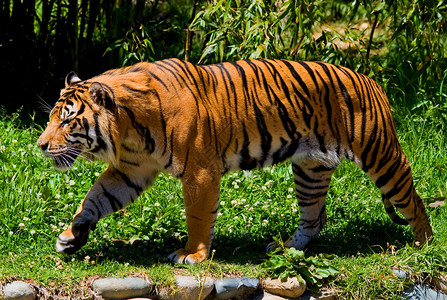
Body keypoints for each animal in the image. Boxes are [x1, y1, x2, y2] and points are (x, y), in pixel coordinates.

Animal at [37, 58, 434, 264]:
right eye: (52, 117)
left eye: (67, 121)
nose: (40, 145)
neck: (129, 130)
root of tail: (372, 80)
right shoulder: (130, 170)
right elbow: (94, 199)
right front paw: (71, 237)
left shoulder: (199, 171)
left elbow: (198, 216)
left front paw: (192, 255)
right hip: (310, 169)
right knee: (314, 217)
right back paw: (286, 249)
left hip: (380, 154)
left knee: (412, 198)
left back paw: (425, 244)